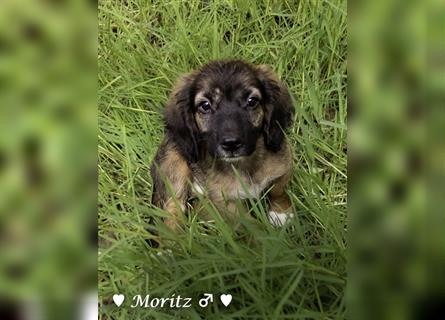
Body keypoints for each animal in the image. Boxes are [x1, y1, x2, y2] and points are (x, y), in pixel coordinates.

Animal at [151, 59, 294, 230]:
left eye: (252, 101)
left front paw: (281, 212)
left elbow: (278, 190)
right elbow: (251, 225)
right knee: (172, 214)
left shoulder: (283, 166)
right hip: (173, 164)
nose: (231, 144)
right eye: (205, 105)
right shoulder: (226, 203)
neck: (243, 165)